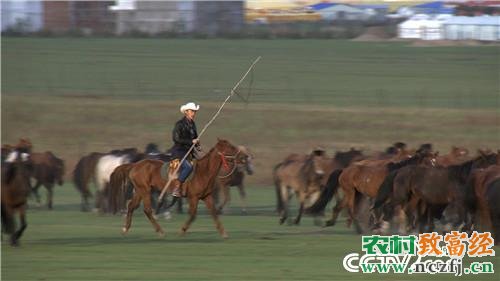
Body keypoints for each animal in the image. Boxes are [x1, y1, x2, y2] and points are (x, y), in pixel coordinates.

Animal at [110, 138, 242, 236]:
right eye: (231, 147)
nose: (243, 157)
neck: (204, 171)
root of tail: (134, 165)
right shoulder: (193, 197)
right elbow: (193, 214)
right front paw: (182, 230)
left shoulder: (206, 196)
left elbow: (214, 212)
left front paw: (223, 232)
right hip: (145, 190)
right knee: (147, 209)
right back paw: (160, 231)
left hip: (140, 191)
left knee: (132, 206)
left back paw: (125, 229)